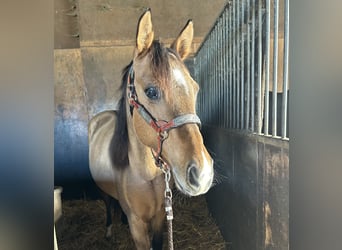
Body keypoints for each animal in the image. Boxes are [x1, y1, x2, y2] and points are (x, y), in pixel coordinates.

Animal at [87, 9, 214, 250]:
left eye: (195, 88)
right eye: (152, 91)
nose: (202, 174)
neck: (145, 174)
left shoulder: (159, 217)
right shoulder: (137, 225)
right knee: (108, 205)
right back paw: (109, 230)